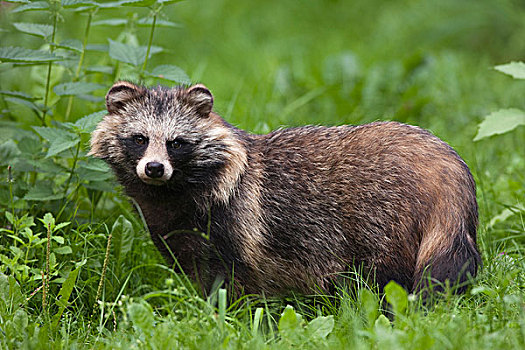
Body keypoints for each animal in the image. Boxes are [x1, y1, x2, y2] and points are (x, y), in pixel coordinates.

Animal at [89, 81, 478, 296]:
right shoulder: (178, 232)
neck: (172, 193)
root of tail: (446, 164)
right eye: (139, 139)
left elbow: (234, 287)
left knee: (389, 279)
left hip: (385, 217)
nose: (154, 168)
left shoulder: (233, 224)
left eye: (177, 143)